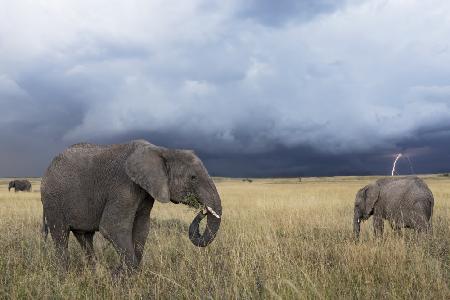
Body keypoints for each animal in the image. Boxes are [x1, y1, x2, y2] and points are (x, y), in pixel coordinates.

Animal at [41, 141, 221, 272]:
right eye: (193, 177)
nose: (203, 211)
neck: (162, 150)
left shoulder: (146, 191)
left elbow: (142, 228)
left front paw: (123, 272)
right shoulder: (123, 186)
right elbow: (112, 227)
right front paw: (120, 275)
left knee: (85, 238)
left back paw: (95, 272)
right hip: (52, 200)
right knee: (61, 235)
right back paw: (64, 275)